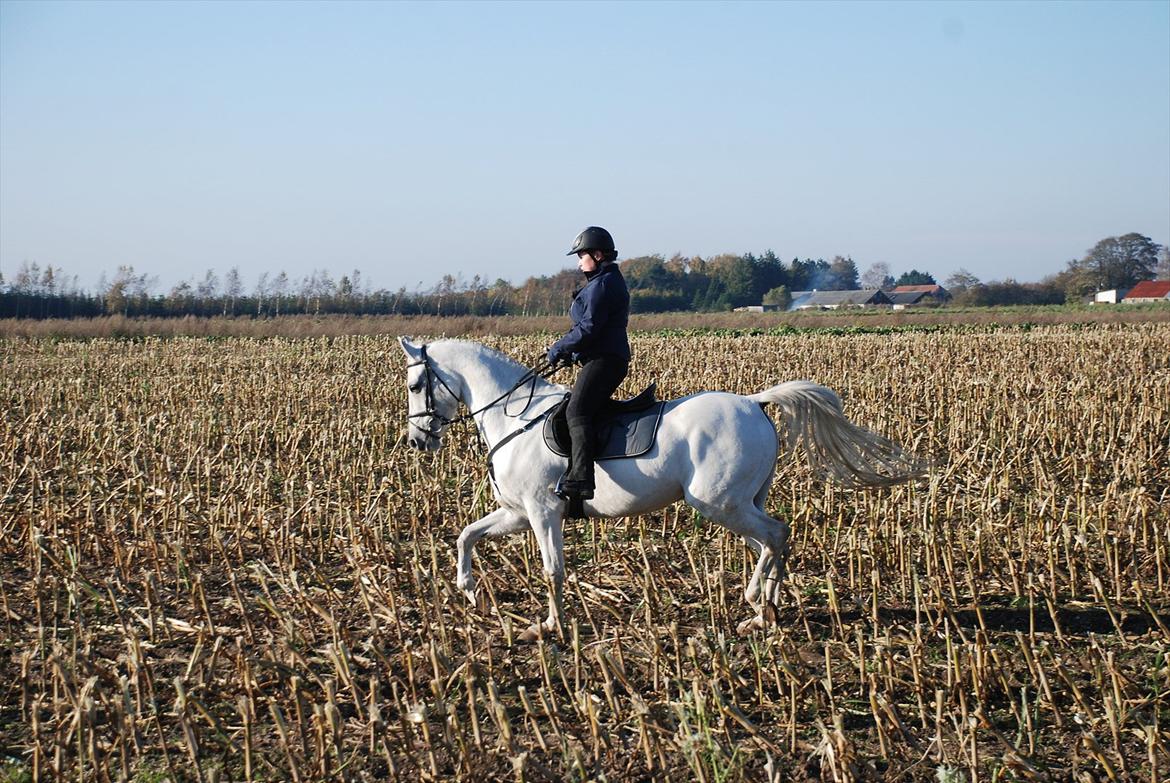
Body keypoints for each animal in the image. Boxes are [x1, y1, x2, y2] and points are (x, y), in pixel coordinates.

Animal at [402, 337, 921, 636]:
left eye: (414, 386)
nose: (415, 441)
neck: (516, 416)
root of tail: (754, 402)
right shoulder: (517, 512)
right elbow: (467, 535)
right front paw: (469, 590)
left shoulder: (542, 511)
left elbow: (552, 570)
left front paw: (548, 625)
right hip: (738, 503)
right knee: (773, 541)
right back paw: (765, 612)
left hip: (719, 503)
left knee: (776, 535)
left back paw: (757, 603)